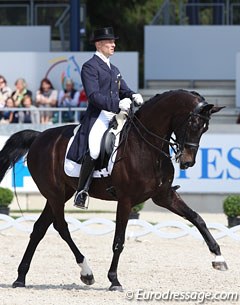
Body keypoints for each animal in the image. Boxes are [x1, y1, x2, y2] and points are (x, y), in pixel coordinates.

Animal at [0, 89, 227, 290]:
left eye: (205, 128)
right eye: (193, 124)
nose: (188, 162)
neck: (146, 145)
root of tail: (39, 136)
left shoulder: (164, 195)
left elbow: (197, 218)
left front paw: (219, 257)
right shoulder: (126, 200)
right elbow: (119, 240)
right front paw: (114, 280)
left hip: (61, 193)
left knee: (40, 228)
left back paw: (20, 277)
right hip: (55, 194)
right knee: (61, 227)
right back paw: (87, 272)